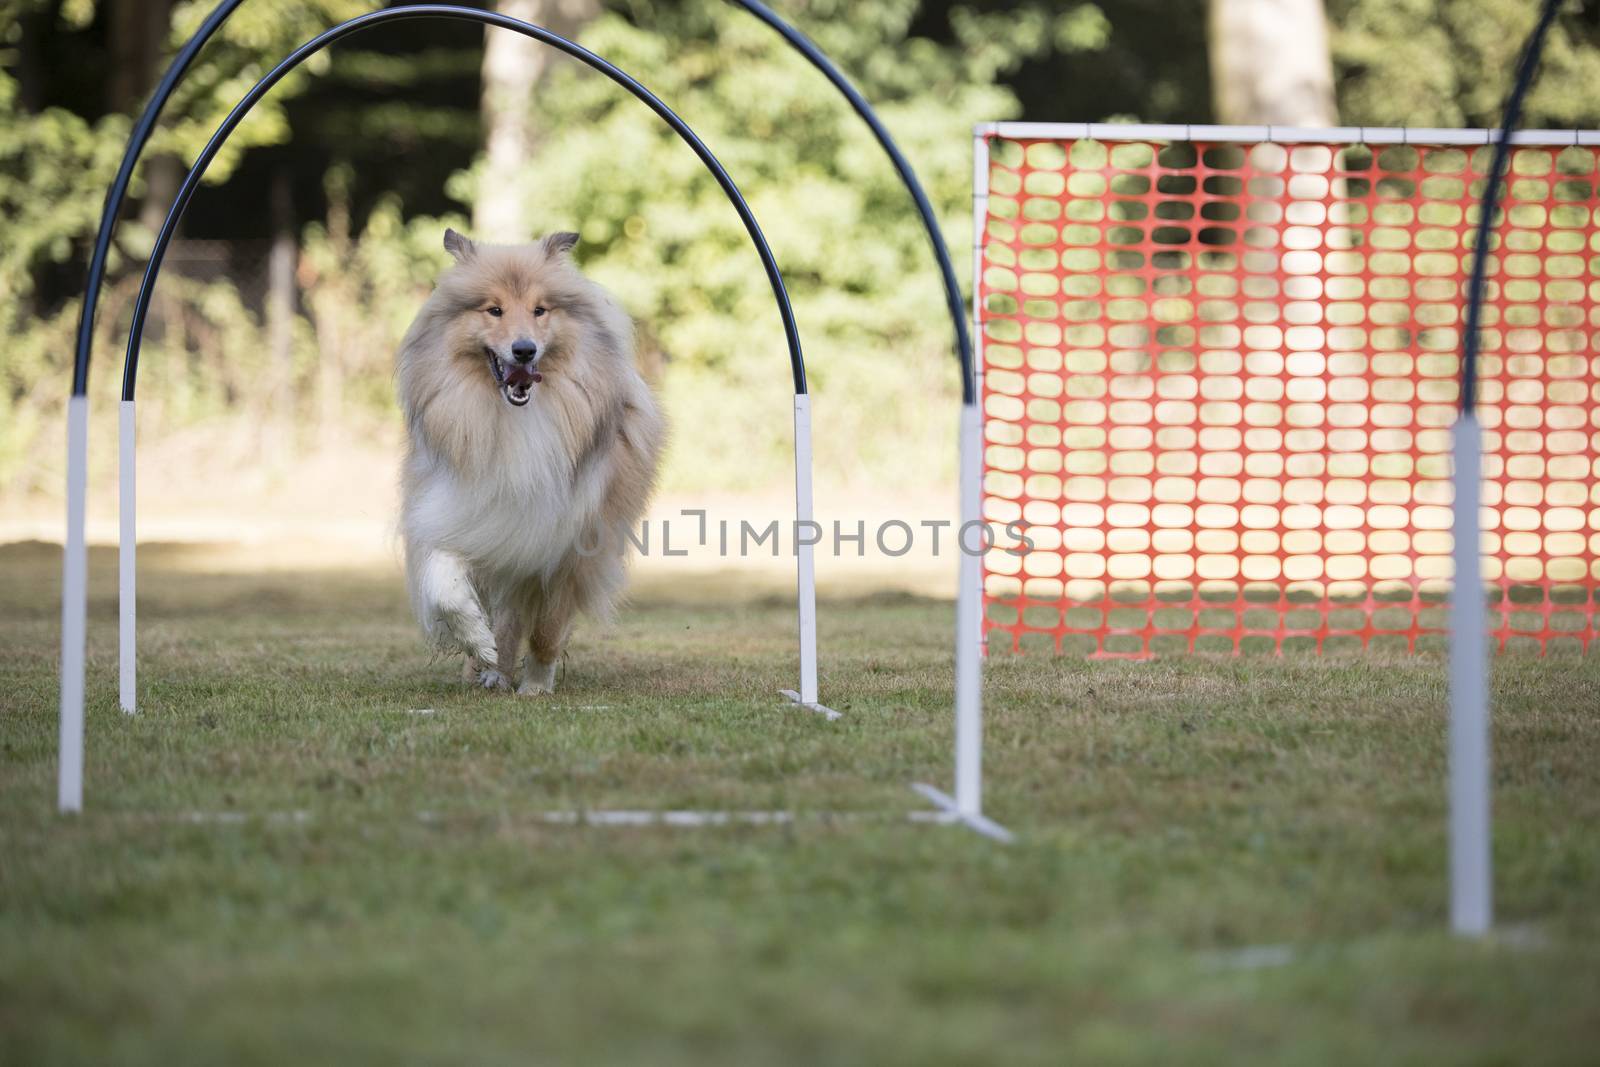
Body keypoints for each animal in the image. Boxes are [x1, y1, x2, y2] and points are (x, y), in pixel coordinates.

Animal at [396, 227, 665, 694]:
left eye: (540, 310)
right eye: (494, 310)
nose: (524, 350)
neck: (514, 419)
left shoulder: (570, 542)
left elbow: (547, 628)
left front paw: (536, 685)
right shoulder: (461, 509)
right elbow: (445, 583)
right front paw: (479, 645)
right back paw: (488, 666)